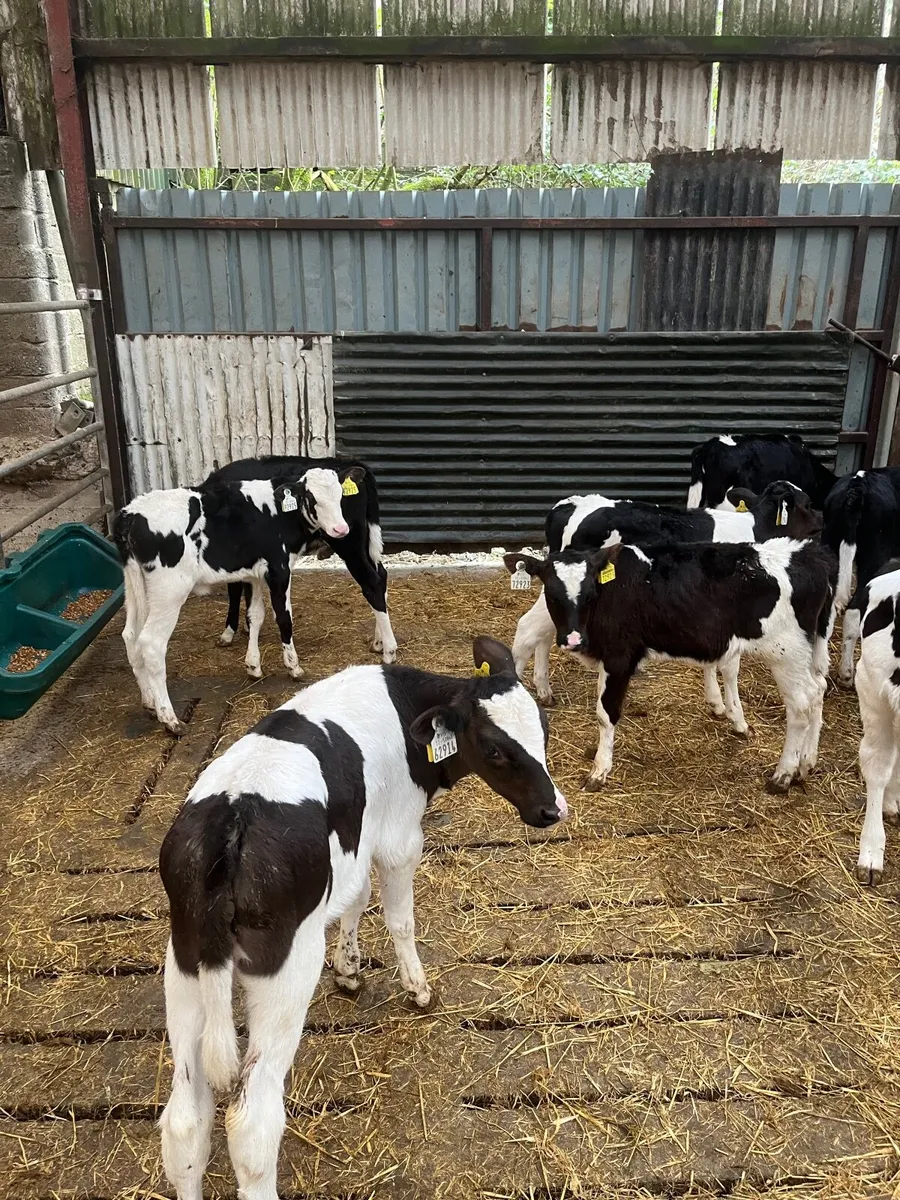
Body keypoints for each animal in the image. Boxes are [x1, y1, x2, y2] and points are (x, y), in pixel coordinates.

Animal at [113, 466, 359, 733]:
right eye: (312, 498)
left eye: (340, 495)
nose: (341, 529)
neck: (278, 512)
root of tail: (131, 513)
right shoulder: (279, 567)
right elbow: (284, 618)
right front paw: (294, 667)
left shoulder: (253, 573)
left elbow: (255, 616)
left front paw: (253, 666)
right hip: (169, 590)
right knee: (151, 644)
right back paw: (170, 718)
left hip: (134, 586)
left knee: (130, 636)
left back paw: (149, 702)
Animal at [158, 635, 567, 1200]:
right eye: (495, 749)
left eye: (543, 730)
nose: (553, 810)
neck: (402, 708)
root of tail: (230, 819)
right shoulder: (398, 837)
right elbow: (399, 917)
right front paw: (417, 988)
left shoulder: (355, 842)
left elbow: (355, 899)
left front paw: (349, 970)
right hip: (284, 973)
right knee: (252, 1124)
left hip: (184, 965)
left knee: (184, 1122)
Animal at [205, 455, 397, 666]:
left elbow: (234, 591)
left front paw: (228, 633)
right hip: (364, 542)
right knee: (381, 575)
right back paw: (378, 642)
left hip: (349, 544)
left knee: (373, 583)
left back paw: (389, 651)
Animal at [506, 538, 835, 793]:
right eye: (551, 594)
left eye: (589, 594)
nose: (573, 639)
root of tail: (808, 553)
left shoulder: (619, 656)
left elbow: (605, 713)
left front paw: (599, 771)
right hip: (808, 651)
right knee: (817, 691)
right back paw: (806, 764)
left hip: (785, 654)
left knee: (800, 707)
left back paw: (783, 775)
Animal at [513, 481, 823, 719]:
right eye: (808, 504)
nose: (822, 520)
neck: (755, 528)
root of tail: (567, 505)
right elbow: (729, 665)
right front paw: (734, 714)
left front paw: (716, 702)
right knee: (528, 627)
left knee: (543, 631)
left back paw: (544, 690)